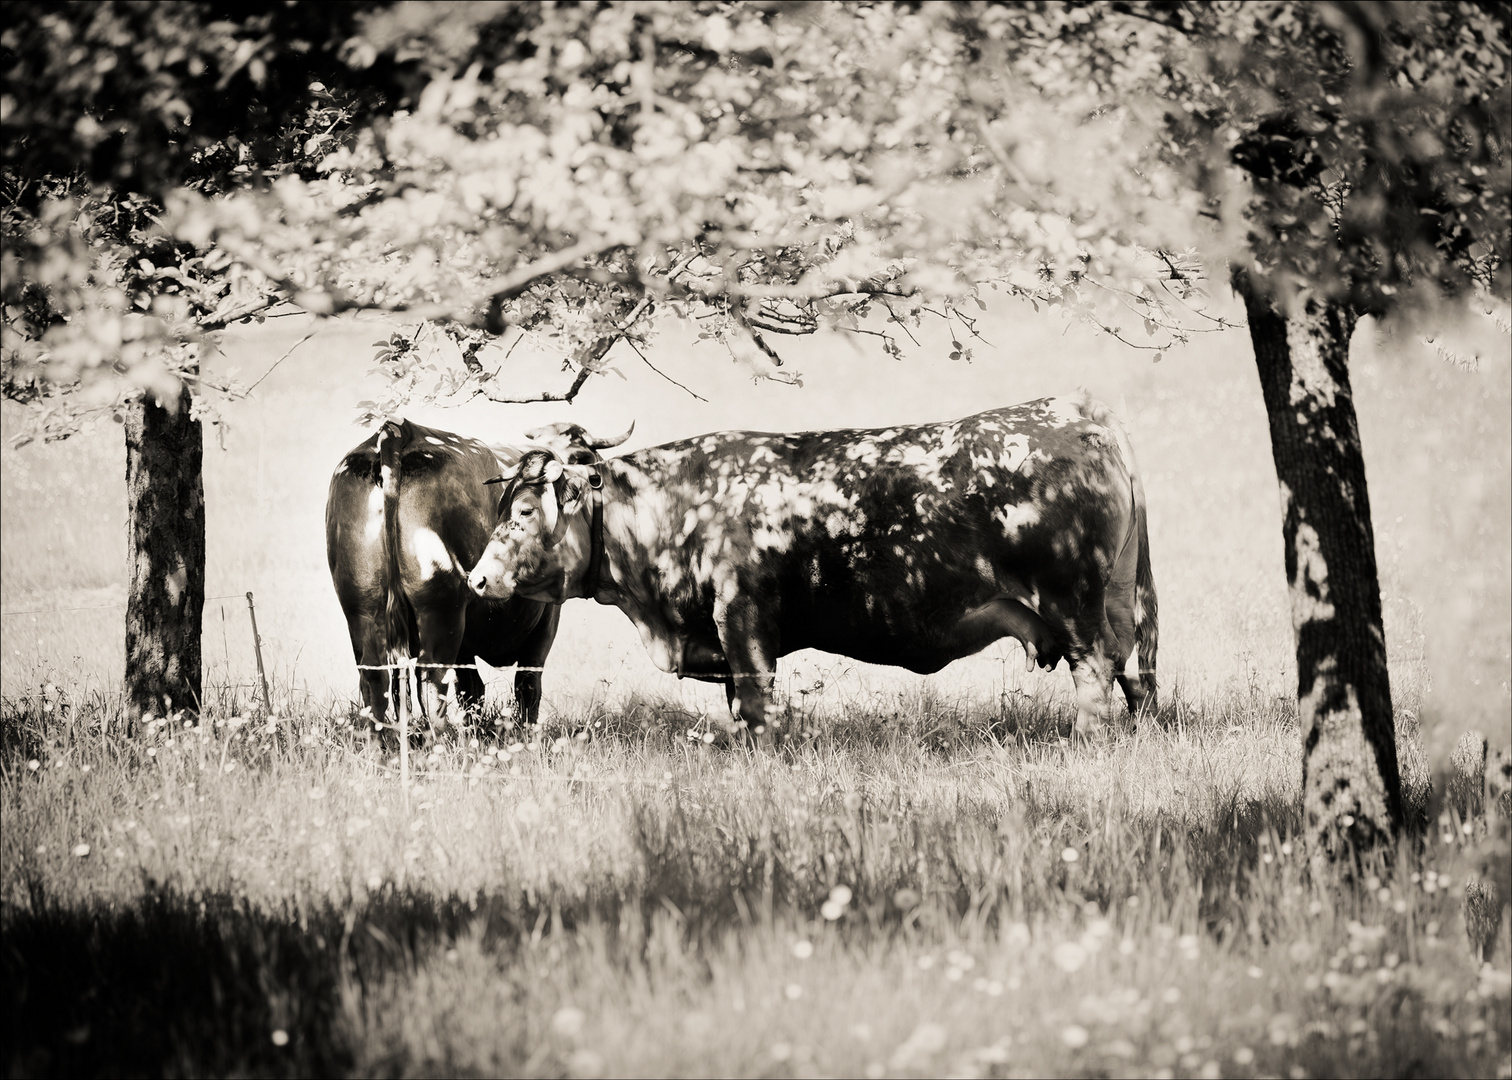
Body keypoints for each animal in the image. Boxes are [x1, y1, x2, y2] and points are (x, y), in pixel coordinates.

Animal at [326, 414, 568, 732]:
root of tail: (399, 431)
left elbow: (473, 689)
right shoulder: (546, 621)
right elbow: (526, 686)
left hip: (362, 606)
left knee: (375, 679)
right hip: (439, 607)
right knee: (431, 679)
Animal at [468, 390, 1155, 735]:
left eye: (524, 511)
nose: (478, 577)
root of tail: (1073, 410)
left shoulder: (744, 622)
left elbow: (758, 707)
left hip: (1072, 605)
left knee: (1097, 673)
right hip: (1119, 602)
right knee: (1137, 673)